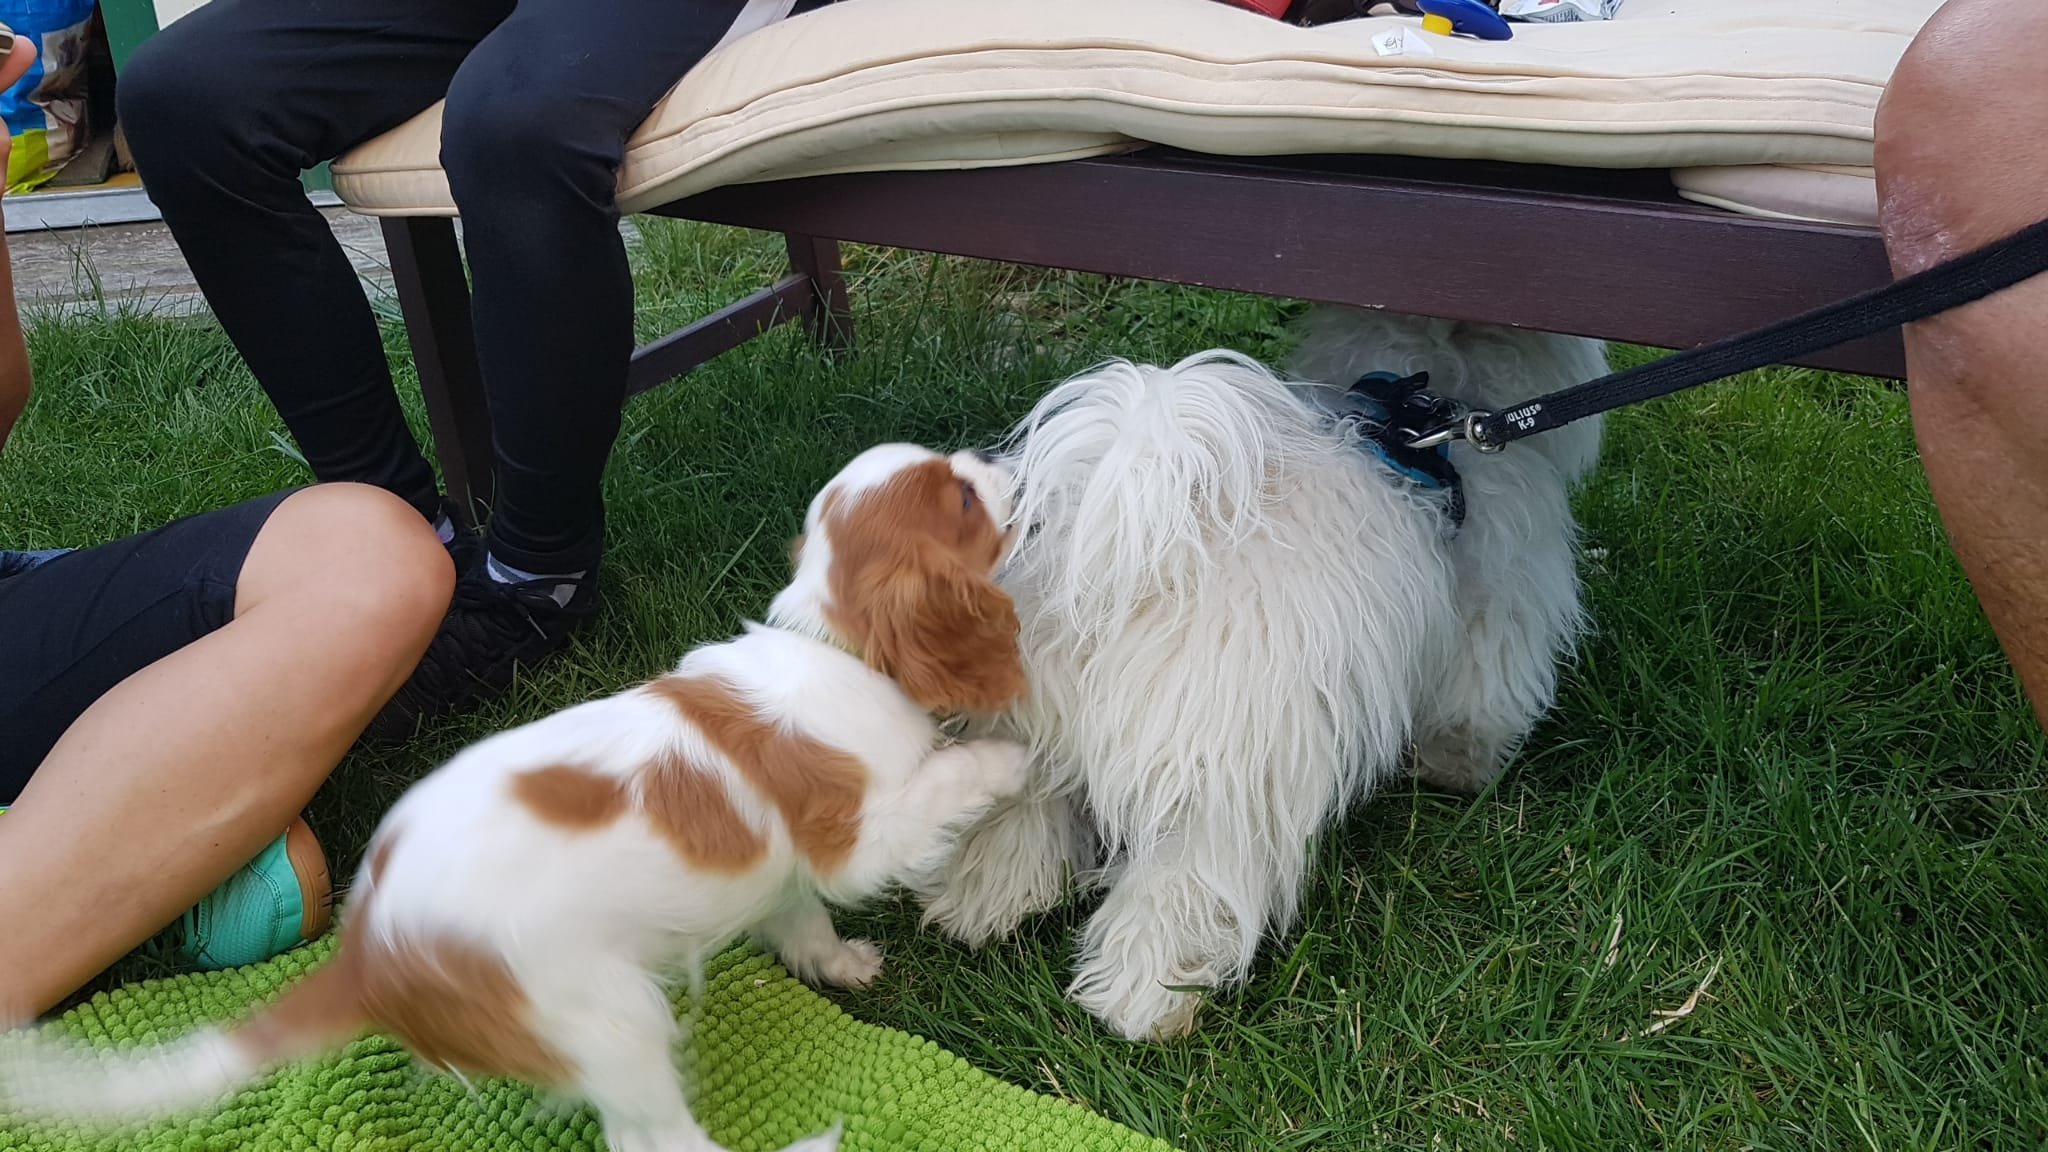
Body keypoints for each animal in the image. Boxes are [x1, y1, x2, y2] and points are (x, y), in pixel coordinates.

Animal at [0, 444, 1031, 1152]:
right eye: (963, 498)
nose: (997, 458)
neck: (837, 644)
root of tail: (368, 951)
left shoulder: (781, 868)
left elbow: (797, 915)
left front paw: (835, 963)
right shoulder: (859, 830)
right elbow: (932, 792)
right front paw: (1008, 759)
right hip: (605, 1016)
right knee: (654, 1142)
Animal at [919, 307, 1607, 1041]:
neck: (1434, 394)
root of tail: (1115, 584)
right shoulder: (1502, 598)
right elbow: (1480, 702)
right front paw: (1458, 767)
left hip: (1031, 728)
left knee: (1019, 817)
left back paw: (983, 901)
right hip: (1223, 782)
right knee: (1188, 885)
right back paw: (1146, 998)